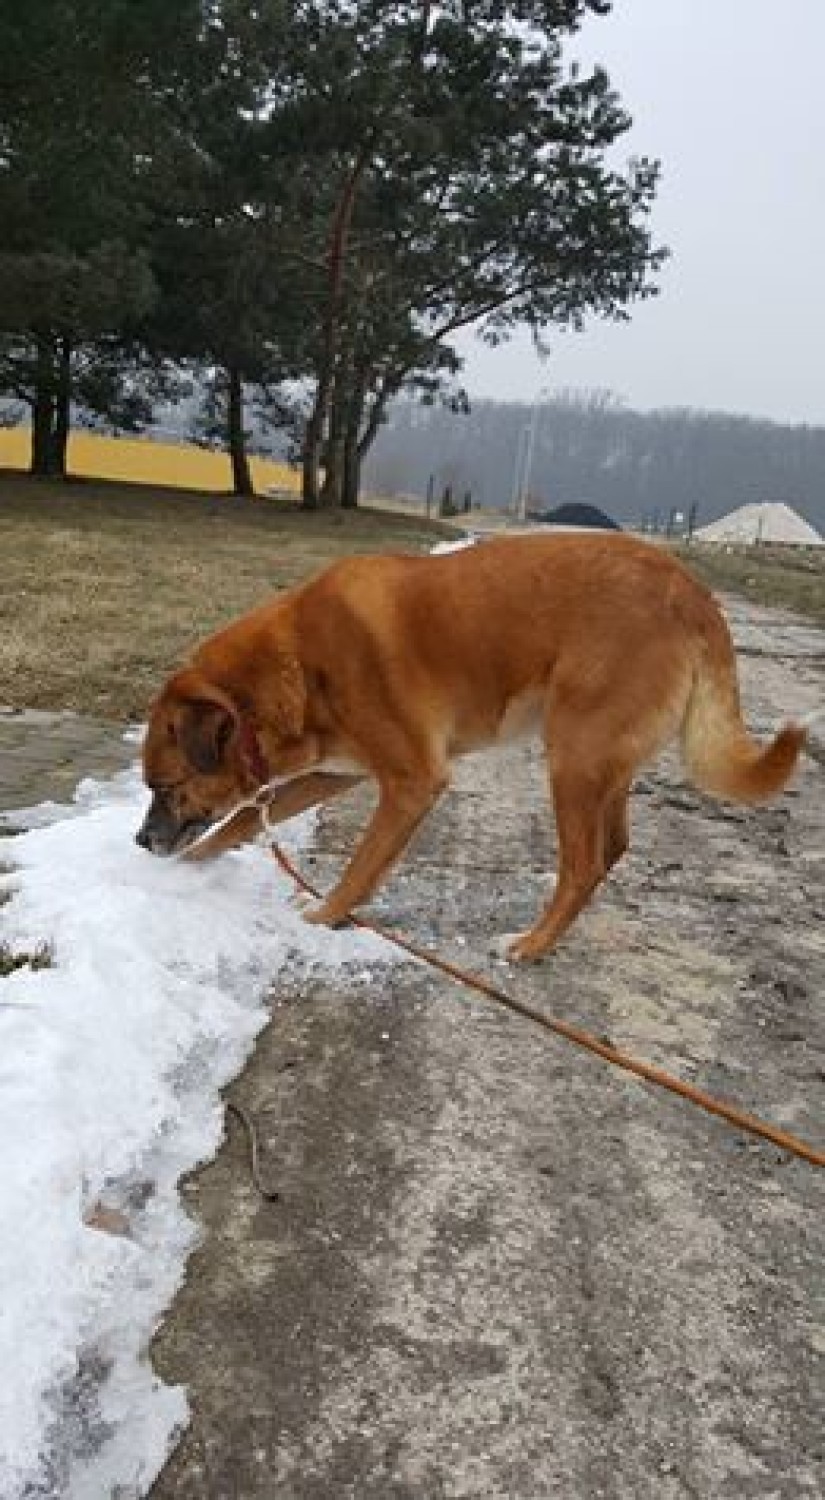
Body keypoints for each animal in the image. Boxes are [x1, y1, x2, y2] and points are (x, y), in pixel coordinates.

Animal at [141, 537, 810, 960]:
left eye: (166, 787)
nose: (141, 842)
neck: (296, 664)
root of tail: (694, 592)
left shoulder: (413, 783)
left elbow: (361, 868)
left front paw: (323, 917)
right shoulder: (338, 773)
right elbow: (236, 824)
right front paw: (187, 870)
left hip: (572, 758)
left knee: (584, 864)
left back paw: (531, 947)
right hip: (601, 763)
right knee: (612, 847)